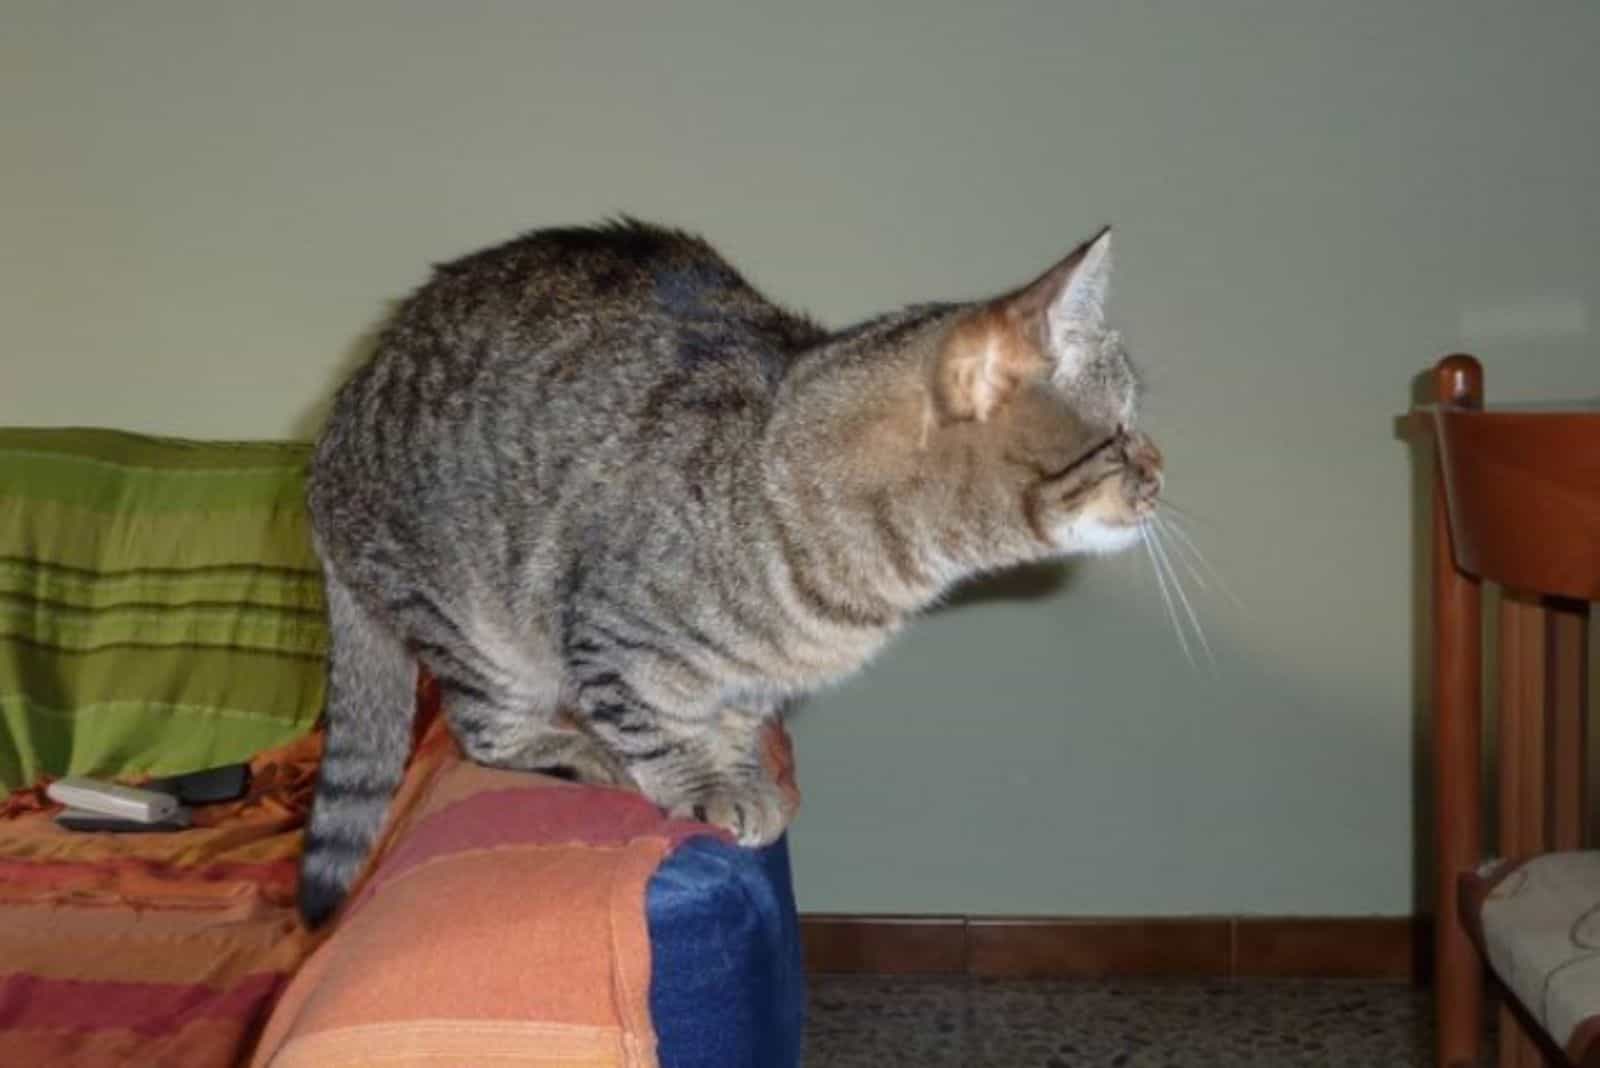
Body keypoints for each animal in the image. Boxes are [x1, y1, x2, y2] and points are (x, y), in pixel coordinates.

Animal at [294, 219, 1158, 927]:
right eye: (1121, 435)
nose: (1161, 470)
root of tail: (329, 444)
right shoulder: (611, 634)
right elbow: (654, 720)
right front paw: (706, 783)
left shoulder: (752, 682)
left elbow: (735, 721)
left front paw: (741, 771)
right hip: (477, 629)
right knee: (482, 731)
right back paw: (569, 747)